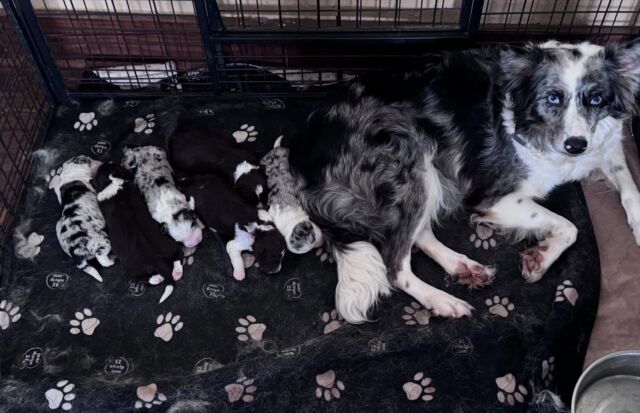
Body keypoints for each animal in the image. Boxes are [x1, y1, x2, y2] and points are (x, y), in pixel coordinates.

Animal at [95, 162, 185, 302]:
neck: (112, 180)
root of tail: (156, 258)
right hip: (169, 245)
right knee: (178, 256)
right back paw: (176, 272)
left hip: (131, 270)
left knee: (145, 279)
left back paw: (157, 278)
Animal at [288, 39, 640, 322]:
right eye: (552, 98)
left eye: (596, 100)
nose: (576, 145)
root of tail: (301, 154)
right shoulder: (494, 199)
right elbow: (569, 226)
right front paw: (540, 259)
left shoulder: (606, 148)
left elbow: (628, 185)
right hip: (414, 155)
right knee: (395, 265)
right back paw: (443, 300)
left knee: (418, 236)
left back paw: (463, 267)